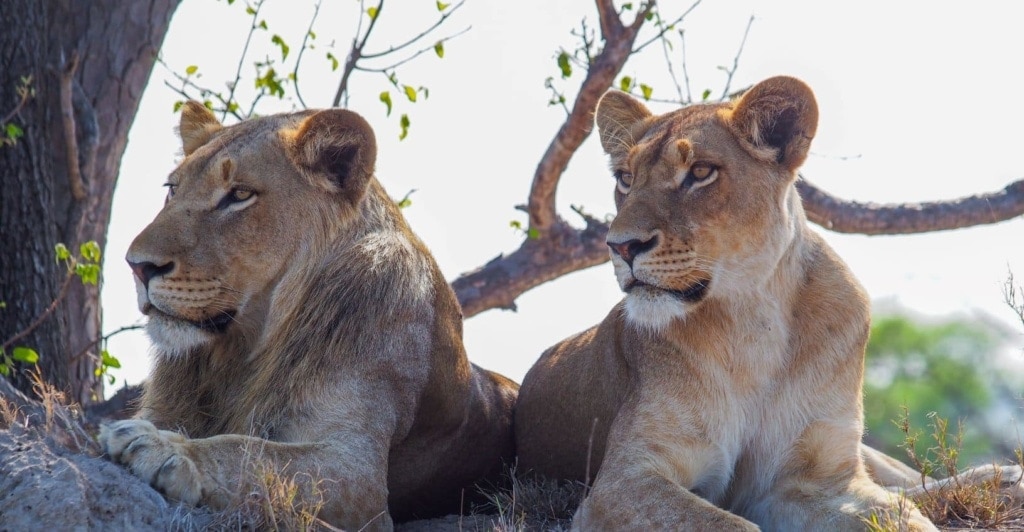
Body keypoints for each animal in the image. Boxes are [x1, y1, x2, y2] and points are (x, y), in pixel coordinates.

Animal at [98, 102, 518, 530]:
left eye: (240, 195)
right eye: (172, 189)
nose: (138, 266)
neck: (244, 350)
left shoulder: (357, 475)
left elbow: (250, 454)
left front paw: (164, 448)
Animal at [513, 77, 941, 530]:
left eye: (700, 172)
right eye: (625, 178)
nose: (620, 246)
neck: (752, 319)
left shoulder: (822, 480)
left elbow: (905, 518)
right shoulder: (623, 482)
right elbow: (731, 523)